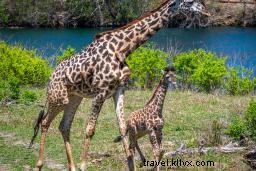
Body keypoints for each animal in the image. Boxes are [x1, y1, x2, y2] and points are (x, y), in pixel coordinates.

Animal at [30, 0, 209, 170]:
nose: (206, 12)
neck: (123, 49)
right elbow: (90, 130)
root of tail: (51, 76)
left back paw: (71, 167)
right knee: (45, 122)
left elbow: (123, 129)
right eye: (190, 2)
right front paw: (83, 166)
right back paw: (39, 164)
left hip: (75, 97)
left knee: (64, 126)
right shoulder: (100, 92)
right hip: (59, 98)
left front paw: (131, 165)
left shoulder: (119, 90)